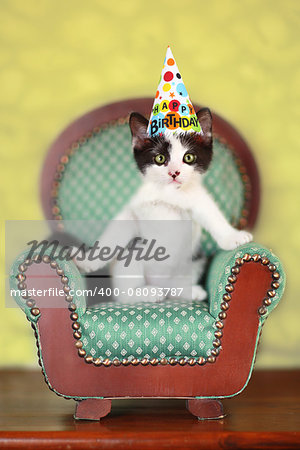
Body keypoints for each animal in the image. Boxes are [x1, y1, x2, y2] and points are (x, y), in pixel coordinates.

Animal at [74, 108, 251, 302]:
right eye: (160, 158)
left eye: (188, 157)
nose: (174, 172)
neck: (170, 195)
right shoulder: (135, 209)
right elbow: (114, 235)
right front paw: (86, 261)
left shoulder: (197, 199)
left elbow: (212, 214)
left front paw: (233, 237)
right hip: (131, 256)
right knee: (124, 294)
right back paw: (147, 293)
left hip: (194, 261)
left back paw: (190, 291)